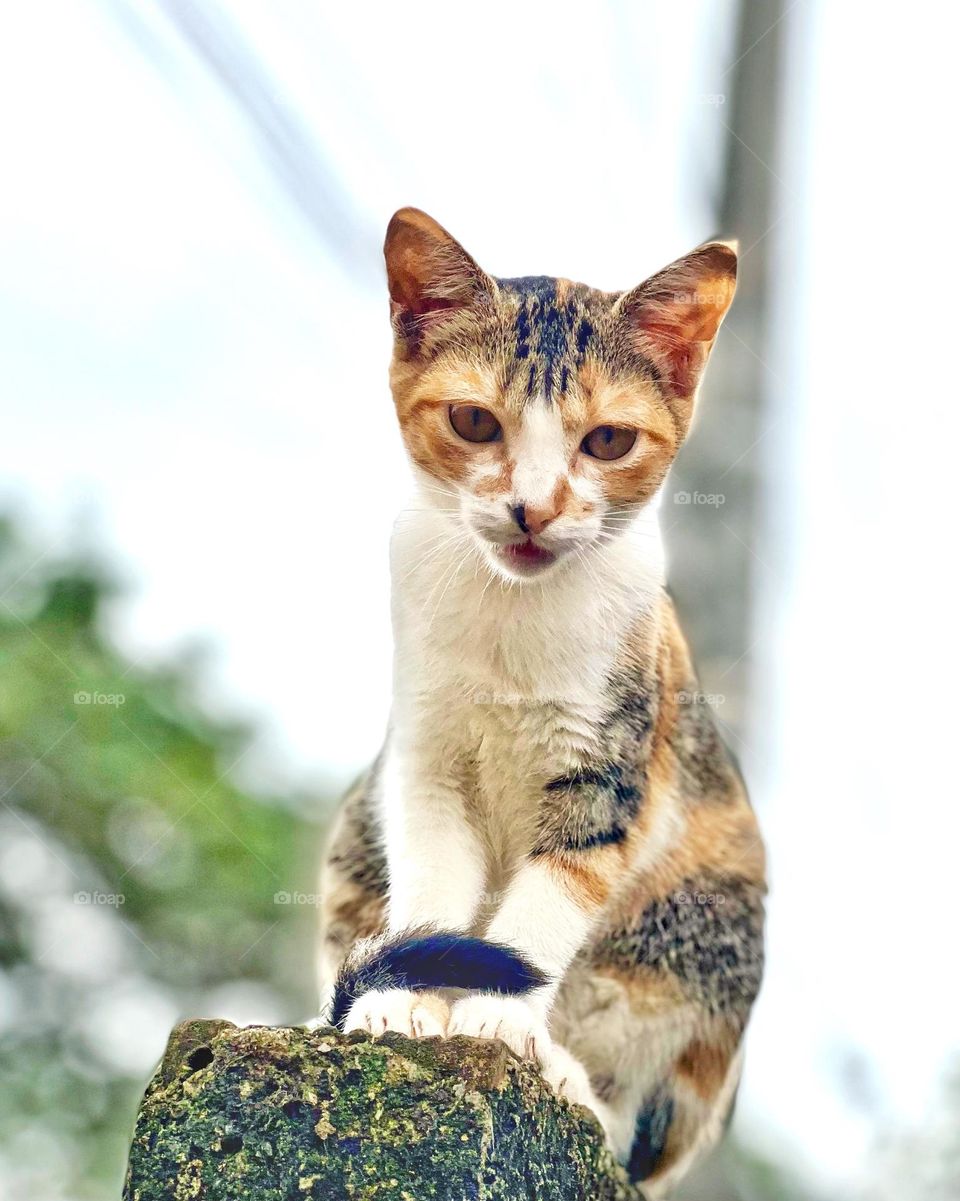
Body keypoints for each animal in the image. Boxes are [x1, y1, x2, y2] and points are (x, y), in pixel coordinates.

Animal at [317, 208, 764, 1191]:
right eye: (473, 420)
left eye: (608, 441)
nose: (533, 508)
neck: (512, 620)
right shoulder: (424, 759)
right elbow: (434, 883)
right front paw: (406, 1003)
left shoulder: (617, 770)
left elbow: (554, 896)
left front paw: (498, 1017)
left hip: (706, 930)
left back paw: (567, 1074)